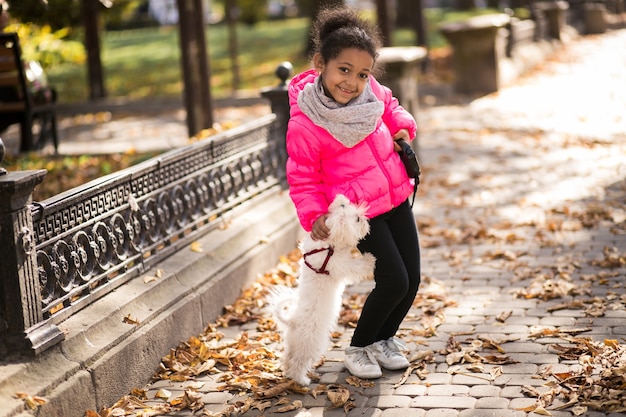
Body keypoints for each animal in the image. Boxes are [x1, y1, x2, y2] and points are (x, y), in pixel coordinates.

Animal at [270, 193, 376, 386]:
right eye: (357, 219)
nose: (368, 221)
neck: (326, 245)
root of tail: (292, 322)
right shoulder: (341, 265)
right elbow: (357, 266)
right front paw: (369, 259)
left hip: (293, 344)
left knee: (287, 359)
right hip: (311, 343)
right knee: (298, 363)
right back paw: (302, 381)